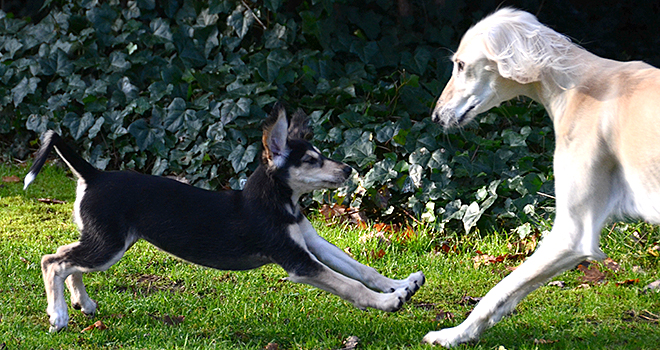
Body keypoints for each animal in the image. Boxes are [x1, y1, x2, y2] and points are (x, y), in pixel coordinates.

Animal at [23, 103, 426, 330]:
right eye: (312, 161)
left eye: (321, 155)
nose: (348, 170)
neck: (280, 203)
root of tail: (94, 174)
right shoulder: (297, 260)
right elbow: (350, 285)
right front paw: (388, 302)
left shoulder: (311, 242)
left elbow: (361, 269)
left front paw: (400, 284)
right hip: (109, 245)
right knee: (52, 261)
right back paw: (59, 315)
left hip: (103, 240)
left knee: (66, 257)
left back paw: (83, 303)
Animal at [422, 7, 660, 348]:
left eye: (461, 65)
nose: (436, 116)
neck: (577, 86)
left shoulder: (573, 233)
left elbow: (502, 288)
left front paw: (457, 333)